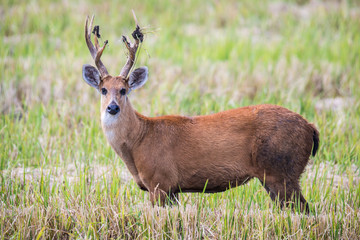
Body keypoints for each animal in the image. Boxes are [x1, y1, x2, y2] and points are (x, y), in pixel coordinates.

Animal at [81, 13, 318, 212]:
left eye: (123, 90)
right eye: (103, 90)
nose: (113, 107)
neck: (138, 141)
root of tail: (311, 128)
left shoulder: (160, 181)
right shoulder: (172, 189)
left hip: (281, 170)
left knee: (303, 209)